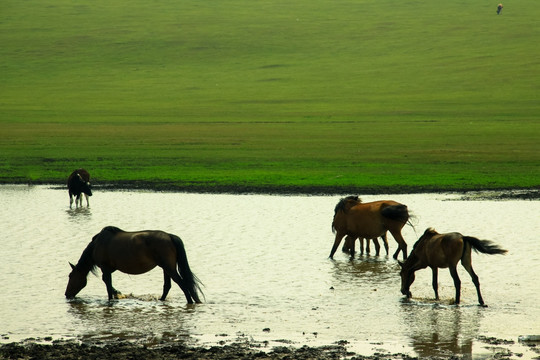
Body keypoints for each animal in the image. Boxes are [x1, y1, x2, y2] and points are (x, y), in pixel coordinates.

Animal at [65, 226, 204, 302]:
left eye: (70, 276)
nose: (67, 294)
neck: (97, 245)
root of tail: (170, 236)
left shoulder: (105, 268)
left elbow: (107, 284)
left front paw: (112, 297)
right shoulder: (110, 269)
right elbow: (109, 284)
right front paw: (117, 294)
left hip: (169, 268)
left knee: (182, 284)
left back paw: (190, 302)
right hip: (166, 268)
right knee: (167, 286)